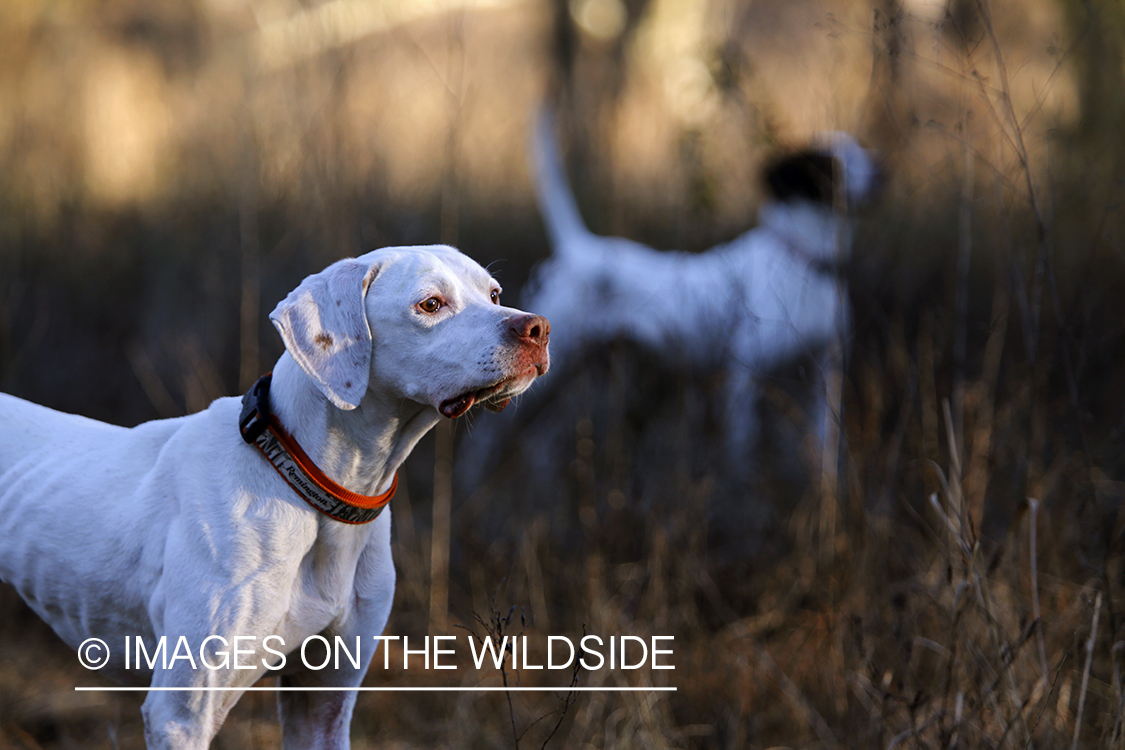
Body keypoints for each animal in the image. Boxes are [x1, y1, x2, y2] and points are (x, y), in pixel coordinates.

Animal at [0, 244, 549, 746]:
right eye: (430, 304)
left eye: (494, 294)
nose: (537, 329)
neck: (314, 484)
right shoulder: (181, 713)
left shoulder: (324, 700)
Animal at [522, 113, 882, 465]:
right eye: (831, 164)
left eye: (862, 149)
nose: (881, 170)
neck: (804, 263)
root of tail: (578, 249)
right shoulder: (744, 379)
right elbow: (741, 448)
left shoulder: (824, 375)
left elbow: (824, 445)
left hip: (592, 370)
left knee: (545, 438)